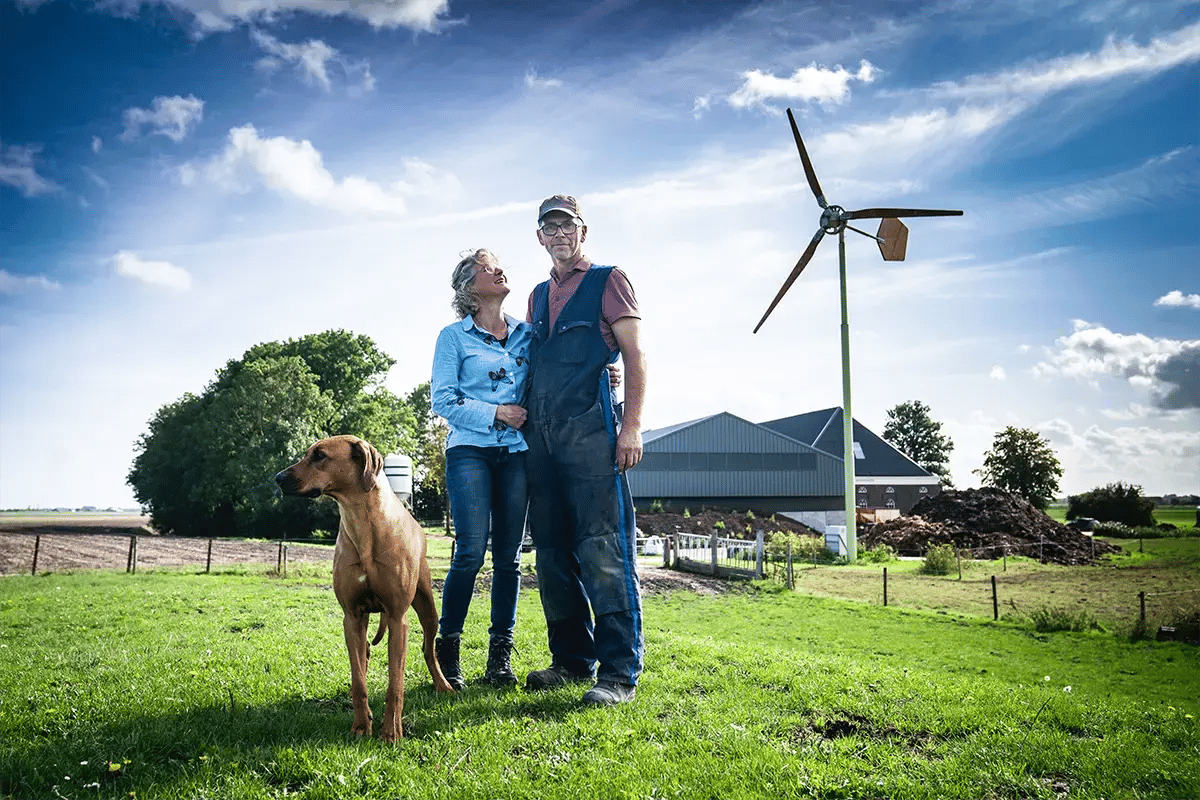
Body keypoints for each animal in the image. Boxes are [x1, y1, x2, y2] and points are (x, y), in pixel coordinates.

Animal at [276, 434, 453, 743]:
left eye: (319, 455)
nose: (278, 478)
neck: (362, 522)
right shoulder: (351, 615)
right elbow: (359, 679)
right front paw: (361, 725)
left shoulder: (397, 618)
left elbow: (396, 683)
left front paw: (391, 731)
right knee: (363, 654)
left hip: (428, 608)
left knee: (428, 649)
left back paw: (443, 685)